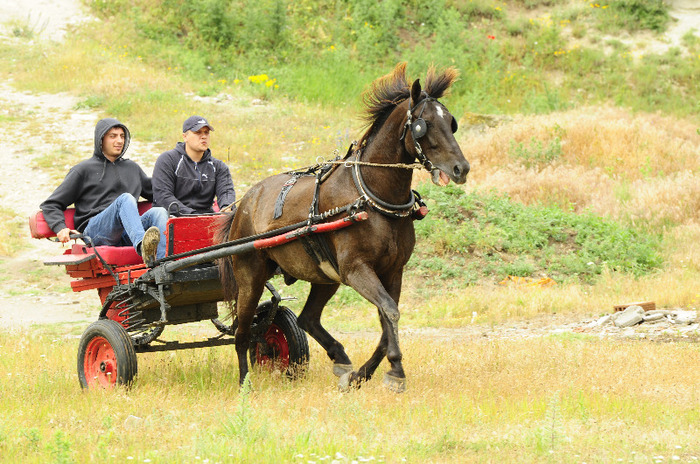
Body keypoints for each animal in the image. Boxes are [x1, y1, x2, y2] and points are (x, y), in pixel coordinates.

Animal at [217, 62, 470, 392]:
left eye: (451, 123)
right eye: (423, 125)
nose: (461, 168)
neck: (371, 197)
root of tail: (245, 202)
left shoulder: (393, 270)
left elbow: (387, 318)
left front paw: (363, 374)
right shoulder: (356, 269)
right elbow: (390, 311)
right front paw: (396, 370)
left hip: (326, 277)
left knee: (306, 319)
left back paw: (340, 358)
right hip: (250, 275)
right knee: (243, 332)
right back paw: (245, 382)